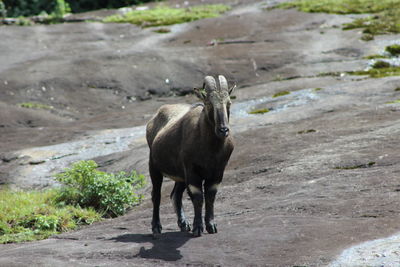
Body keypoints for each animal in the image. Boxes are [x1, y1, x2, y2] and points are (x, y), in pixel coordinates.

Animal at [146, 74, 234, 238]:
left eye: (229, 103)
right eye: (209, 104)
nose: (223, 130)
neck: (211, 149)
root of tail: (153, 118)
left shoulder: (218, 171)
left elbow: (210, 195)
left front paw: (211, 226)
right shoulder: (192, 170)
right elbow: (198, 197)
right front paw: (198, 228)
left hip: (180, 174)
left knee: (175, 194)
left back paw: (183, 224)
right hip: (154, 166)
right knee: (156, 195)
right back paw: (156, 228)